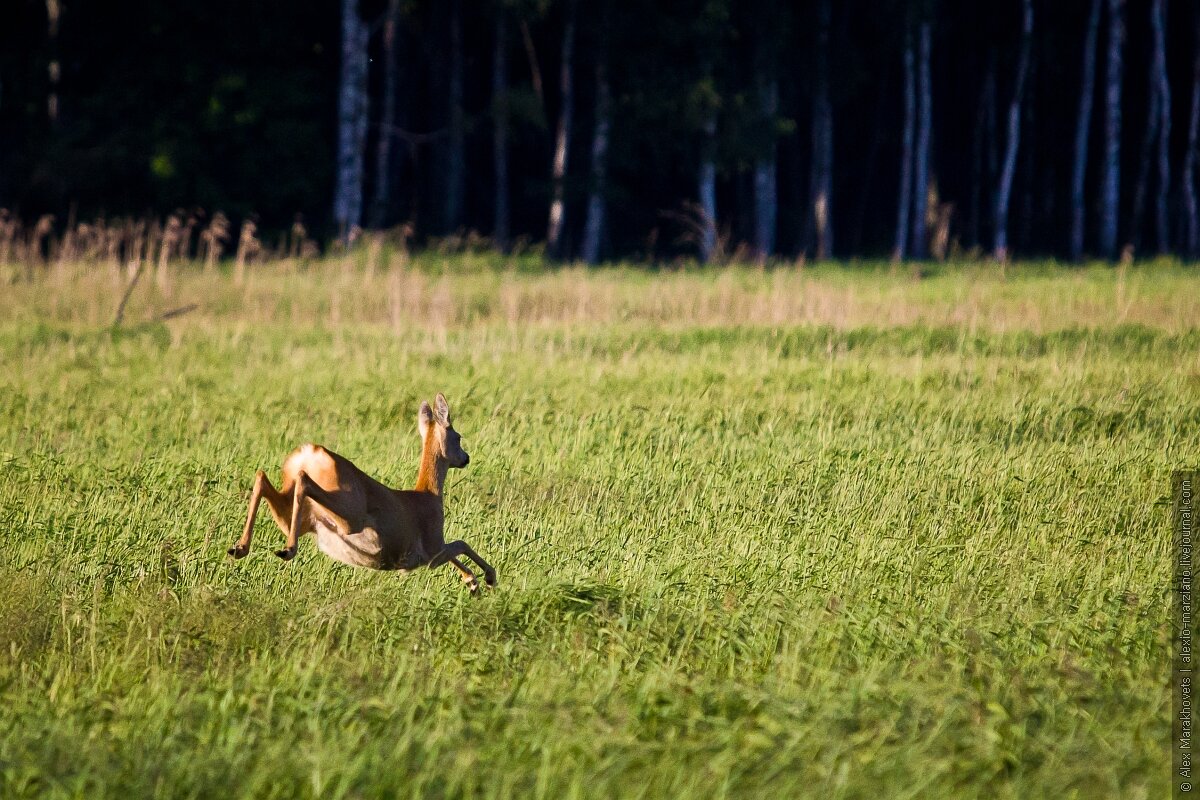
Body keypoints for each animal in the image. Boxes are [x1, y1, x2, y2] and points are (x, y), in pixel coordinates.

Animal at [226, 393, 494, 594]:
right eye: (458, 436)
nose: (466, 458)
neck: (427, 495)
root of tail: (309, 452)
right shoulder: (430, 551)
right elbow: (461, 544)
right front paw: (488, 578)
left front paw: (472, 583)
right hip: (349, 515)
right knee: (303, 481)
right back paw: (287, 550)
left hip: (298, 515)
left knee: (262, 478)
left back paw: (240, 548)